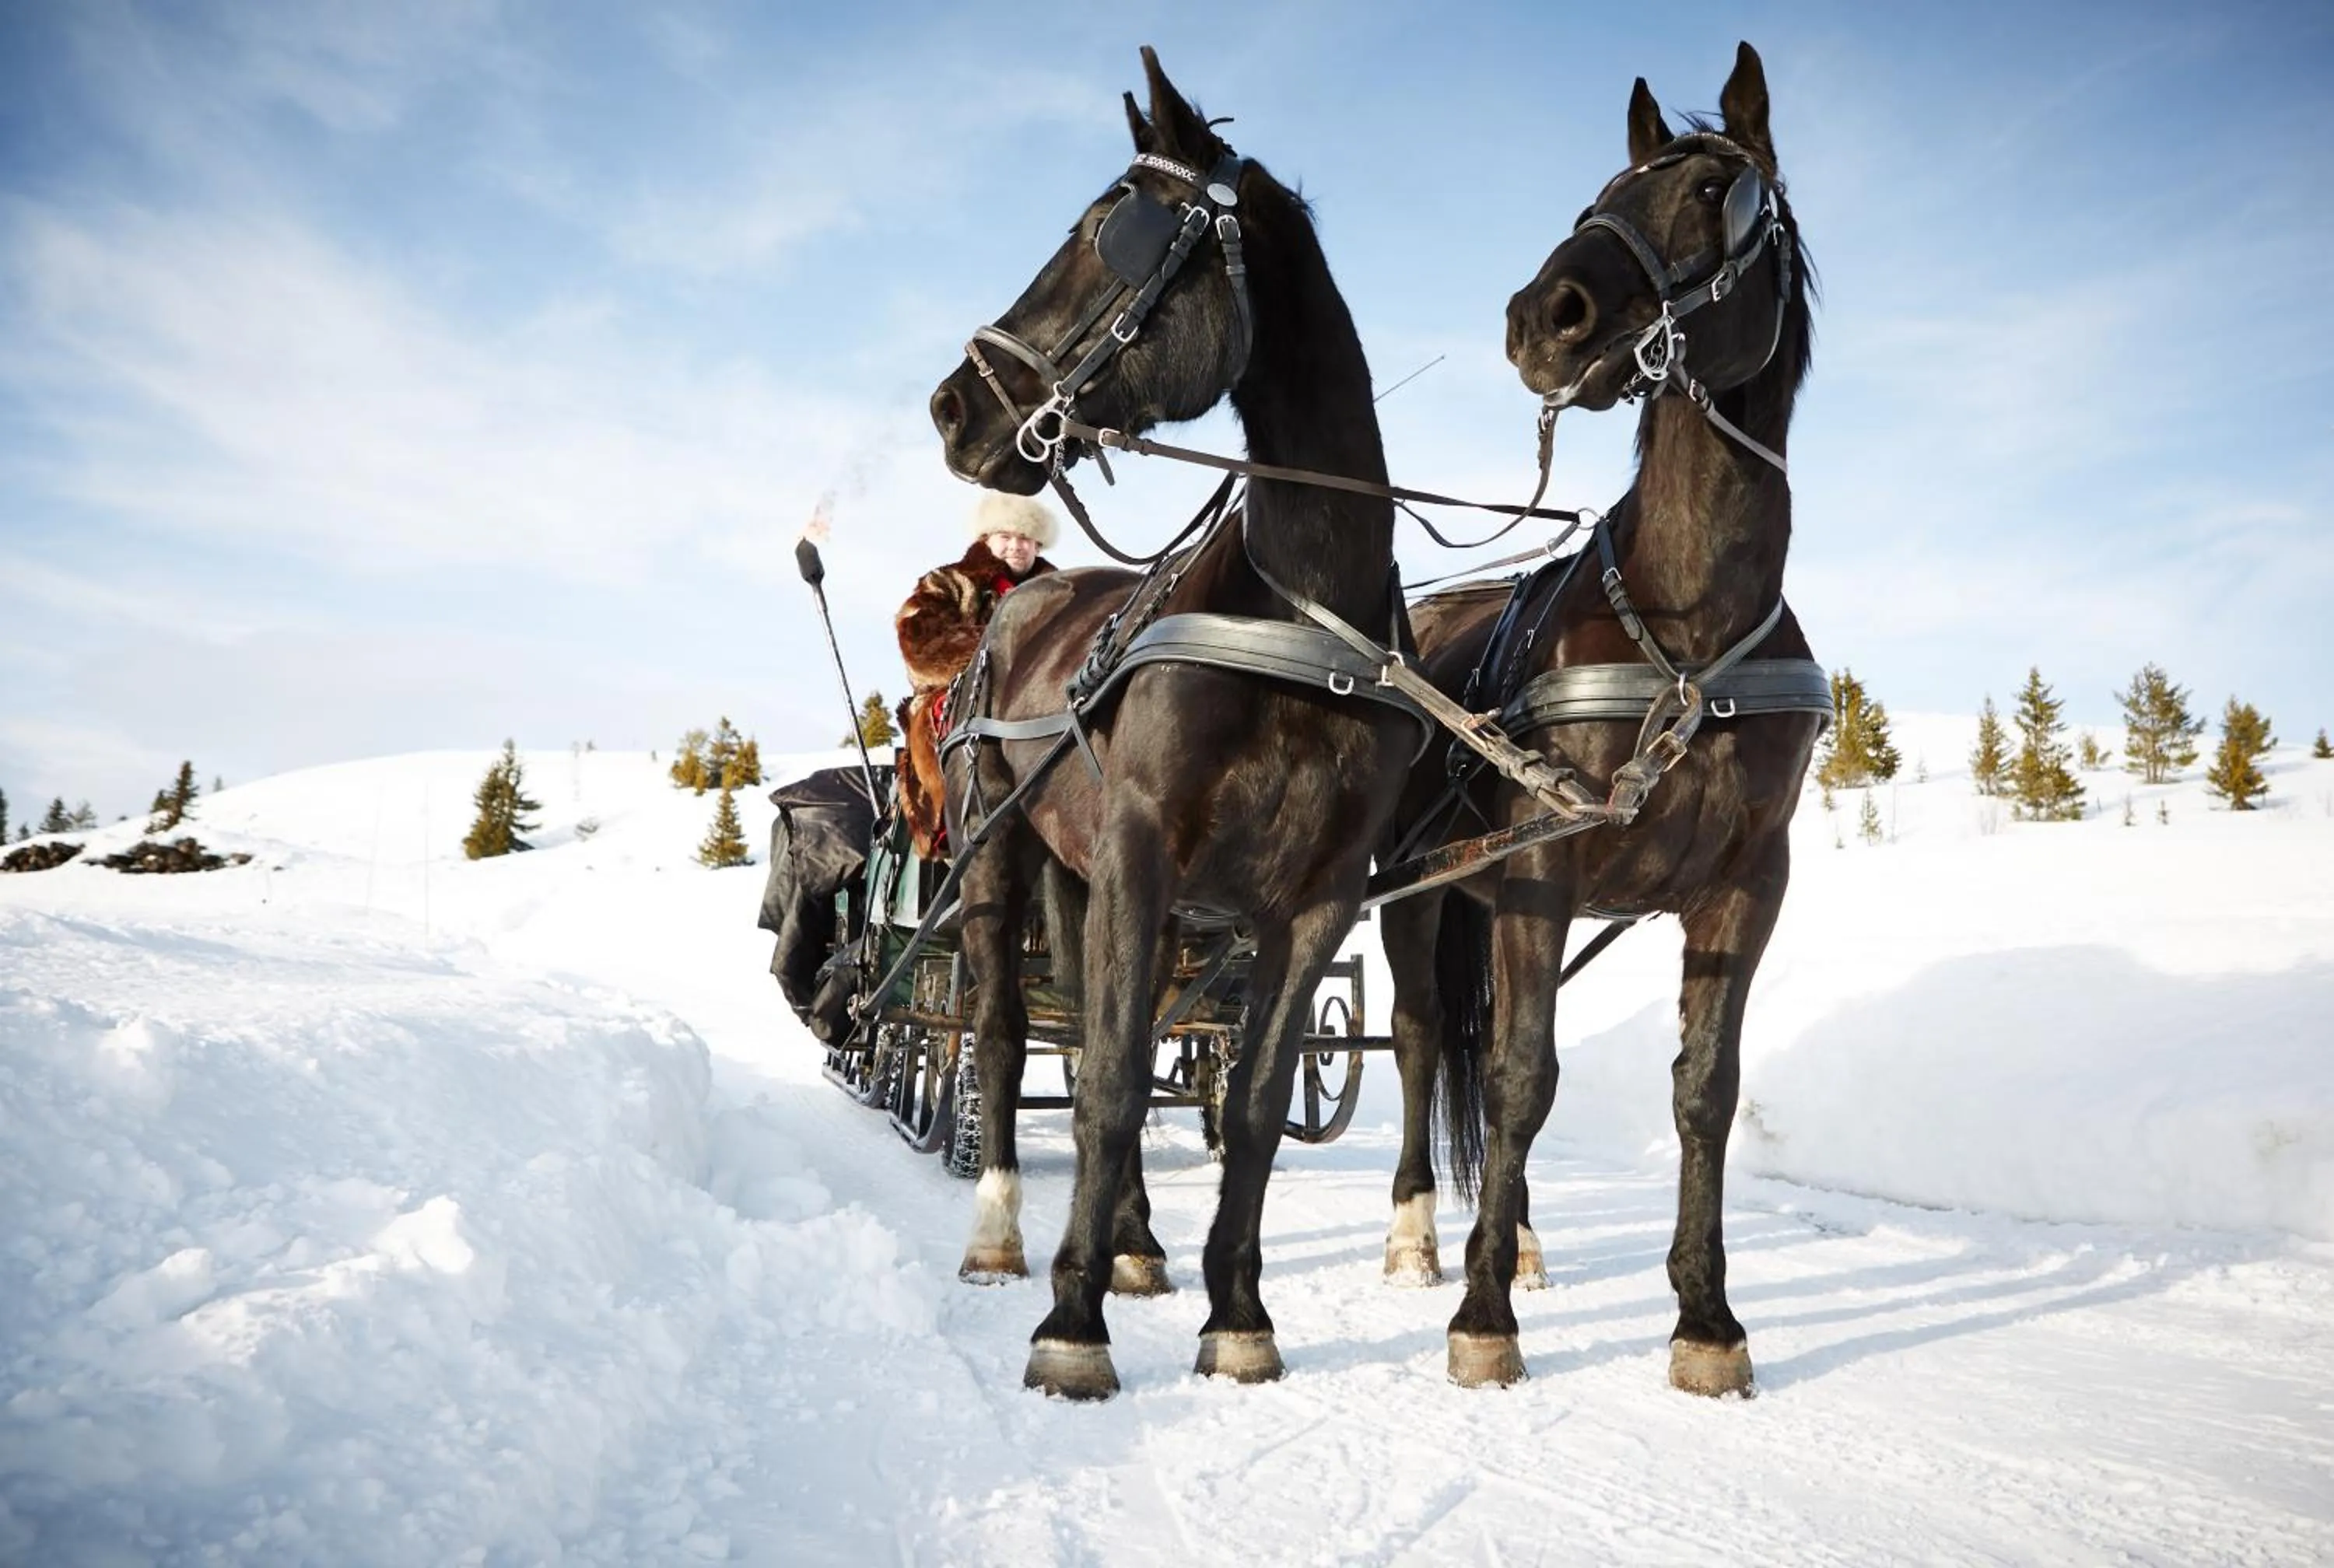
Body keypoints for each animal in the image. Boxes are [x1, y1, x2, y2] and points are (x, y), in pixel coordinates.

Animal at [926, 48, 1418, 1400]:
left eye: (1112, 231)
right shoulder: (1144, 850)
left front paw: (1236, 1312)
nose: (954, 408)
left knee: (1126, 1049)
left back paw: (1138, 1243)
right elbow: (1102, 1084)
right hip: (996, 858)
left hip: (1085, 880)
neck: (1300, 608)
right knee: (1004, 1035)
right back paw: (1003, 1234)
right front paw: (1070, 1322)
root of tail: (1023, 602)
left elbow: (1238, 1105)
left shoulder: (1314, 899)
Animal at [1378, 40, 1822, 1397]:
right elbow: (1521, 1079)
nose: (1545, 315)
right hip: (1420, 897)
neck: (1685, 630)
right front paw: (1479, 1321)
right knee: (1424, 1041)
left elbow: (1703, 1090)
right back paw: (1420, 1236)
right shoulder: (1543, 874)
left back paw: (1516, 1238)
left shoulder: (1746, 886)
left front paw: (1708, 1320)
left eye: (1717, 192)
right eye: (1604, 191)